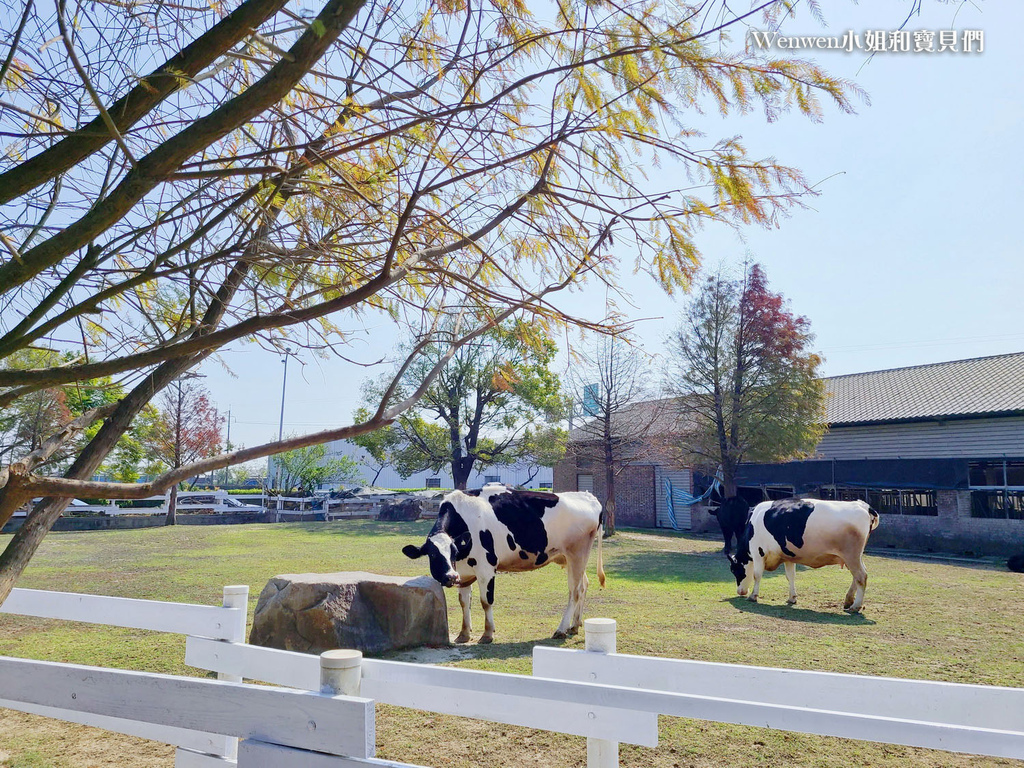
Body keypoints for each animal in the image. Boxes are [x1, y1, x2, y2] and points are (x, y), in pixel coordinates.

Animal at [399, 487, 602, 643]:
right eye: (433, 554)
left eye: (454, 552)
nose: (450, 576)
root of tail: (588, 497)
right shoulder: (464, 573)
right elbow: (464, 602)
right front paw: (464, 634)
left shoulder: (486, 569)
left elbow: (485, 601)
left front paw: (488, 634)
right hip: (568, 558)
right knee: (583, 586)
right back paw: (574, 625)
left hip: (577, 553)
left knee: (574, 591)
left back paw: (561, 629)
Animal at [729, 499, 880, 614]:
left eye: (734, 570)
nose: (740, 591)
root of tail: (862, 504)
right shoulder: (788, 557)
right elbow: (790, 576)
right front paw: (792, 598)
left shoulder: (758, 552)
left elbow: (757, 575)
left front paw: (753, 596)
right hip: (855, 557)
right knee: (859, 575)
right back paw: (848, 600)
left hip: (851, 556)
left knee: (861, 576)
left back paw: (856, 606)